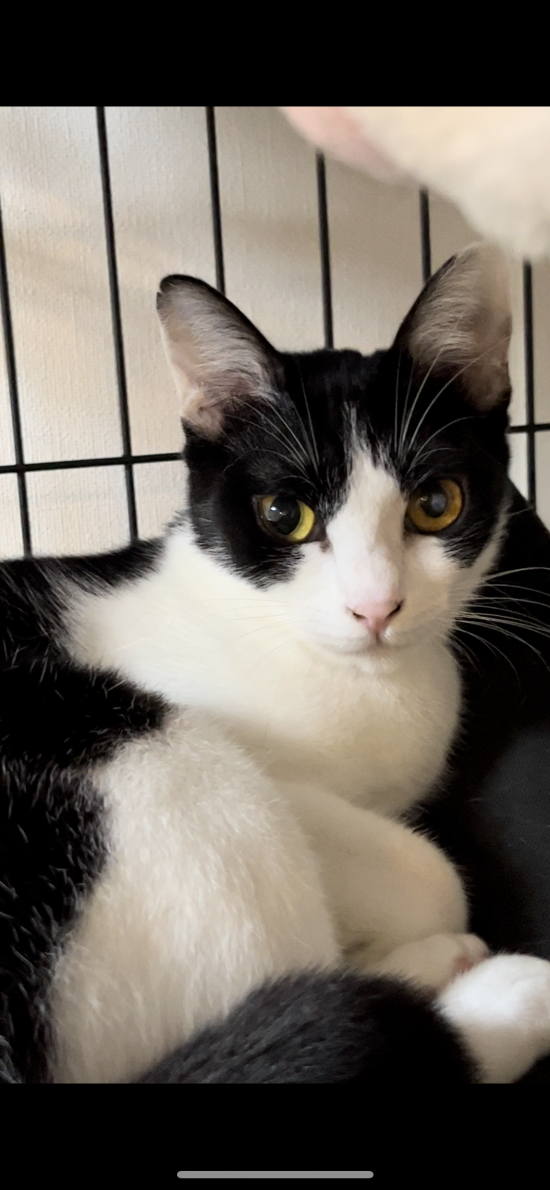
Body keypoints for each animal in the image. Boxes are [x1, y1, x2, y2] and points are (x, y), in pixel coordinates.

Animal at [2, 242, 550, 1085]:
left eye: (436, 504)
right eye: (283, 515)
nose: (376, 606)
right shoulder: (285, 786)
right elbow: (430, 873)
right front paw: (435, 943)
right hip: (165, 767)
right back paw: (490, 994)